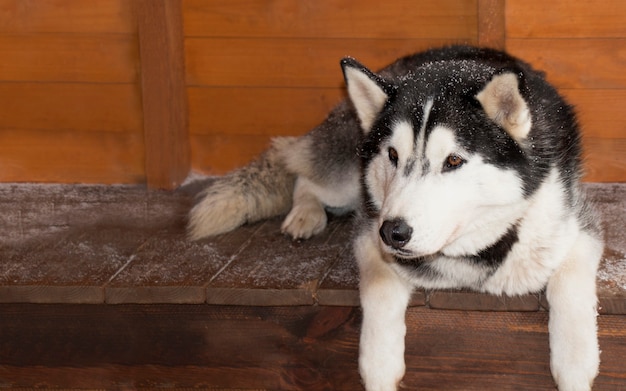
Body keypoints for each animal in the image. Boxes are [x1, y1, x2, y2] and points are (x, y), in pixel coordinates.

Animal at [188, 46, 604, 391]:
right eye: (392, 155)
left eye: (453, 160)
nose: (394, 232)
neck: (472, 253)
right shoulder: (368, 234)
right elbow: (379, 286)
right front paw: (379, 366)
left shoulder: (579, 227)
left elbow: (569, 283)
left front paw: (575, 365)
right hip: (346, 178)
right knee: (303, 175)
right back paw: (304, 215)